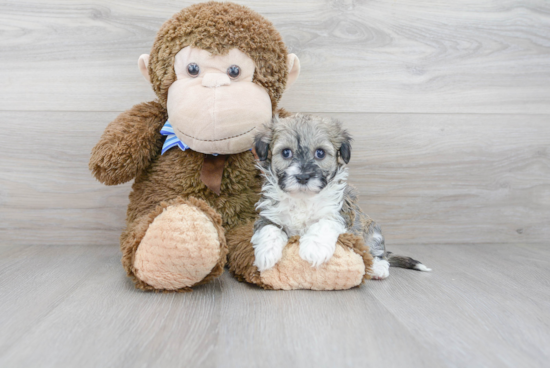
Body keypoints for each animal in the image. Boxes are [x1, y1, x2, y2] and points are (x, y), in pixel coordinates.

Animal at [252, 114, 434, 278]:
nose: (303, 177)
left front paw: (314, 249)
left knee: (377, 253)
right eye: (286, 152)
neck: (303, 198)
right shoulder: (269, 214)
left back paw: (378, 268)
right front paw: (266, 253)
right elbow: (269, 229)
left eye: (320, 153)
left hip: (373, 232)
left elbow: (324, 223)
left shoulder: (341, 212)